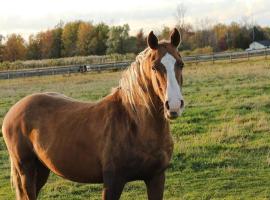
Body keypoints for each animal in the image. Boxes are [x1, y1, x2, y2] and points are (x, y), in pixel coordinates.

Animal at [2, 28, 185, 200]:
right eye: (154, 66)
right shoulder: (113, 182)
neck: (136, 125)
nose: (174, 105)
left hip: (41, 169)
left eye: (181, 64)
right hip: (26, 170)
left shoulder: (156, 178)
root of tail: (13, 111)